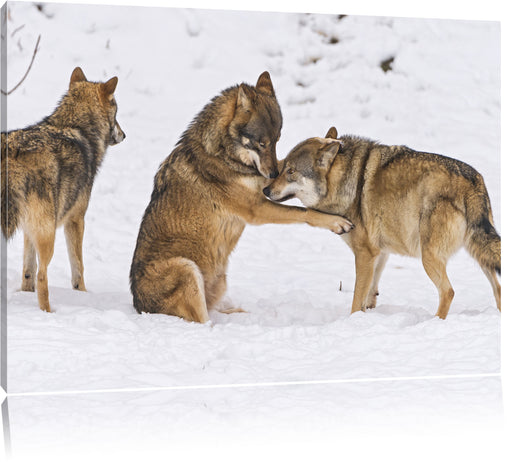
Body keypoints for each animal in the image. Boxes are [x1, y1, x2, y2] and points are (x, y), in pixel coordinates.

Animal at [1, 67, 125, 312]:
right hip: (48, 235)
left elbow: (27, 272)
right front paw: (82, 295)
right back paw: (49, 312)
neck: (76, 127)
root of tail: (13, 150)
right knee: (43, 276)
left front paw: (24, 293)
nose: (124, 135)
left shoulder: (28, 230)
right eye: (116, 113)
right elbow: (78, 267)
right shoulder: (76, 219)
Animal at [129, 73, 352, 324]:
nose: (272, 174)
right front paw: (336, 222)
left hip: (220, 280)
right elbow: (303, 212)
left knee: (211, 310)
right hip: (186, 268)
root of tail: (139, 306)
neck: (223, 154)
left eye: (277, 140)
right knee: (203, 321)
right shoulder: (257, 209)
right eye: (261, 143)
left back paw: (237, 313)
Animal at [266, 127, 502, 322]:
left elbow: (356, 299)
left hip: (429, 257)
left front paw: (352, 323)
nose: (265, 190)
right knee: (498, 289)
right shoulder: (379, 253)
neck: (346, 182)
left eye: (291, 171)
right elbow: (369, 294)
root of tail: (473, 182)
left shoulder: (365, 254)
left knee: (448, 292)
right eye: (283, 167)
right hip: (479, 255)